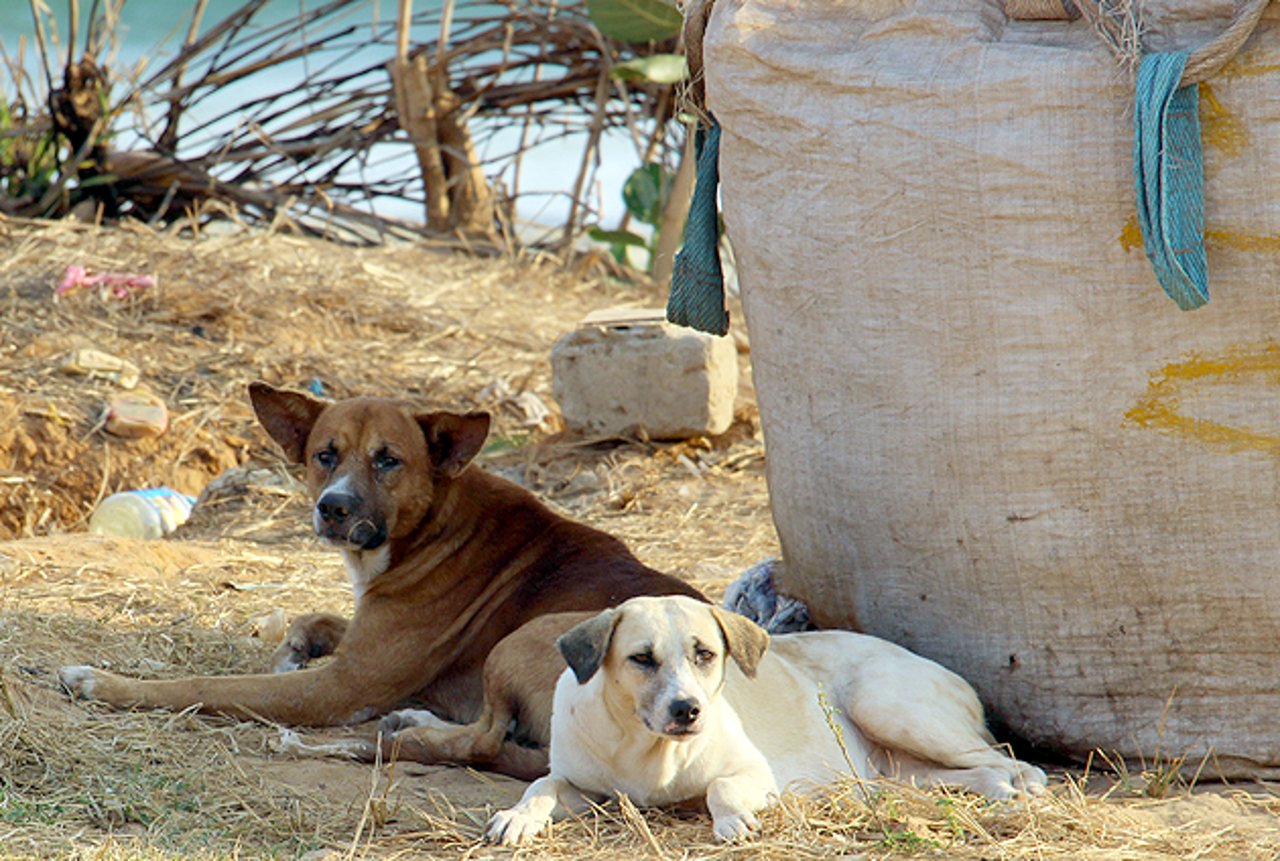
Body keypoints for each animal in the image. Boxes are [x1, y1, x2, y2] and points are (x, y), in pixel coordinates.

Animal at [57, 383, 701, 777]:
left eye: (388, 459)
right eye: (325, 454)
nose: (333, 508)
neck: (432, 525)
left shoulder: (341, 687)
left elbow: (200, 686)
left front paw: (104, 684)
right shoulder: (363, 640)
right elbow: (318, 618)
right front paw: (296, 645)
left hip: (533, 636)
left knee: (484, 740)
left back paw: (391, 736)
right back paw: (414, 721)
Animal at [483, 593, 1044, 844]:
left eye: (705, 654)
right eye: (641, 658)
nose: (688, 710)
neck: (646, 748)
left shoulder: (755, 773)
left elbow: (720, 788)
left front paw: (733, 820)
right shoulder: (584, 786)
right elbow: (542, 786)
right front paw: (517, 817)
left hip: (885, 705)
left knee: (1012, 762)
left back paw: (1023, 791)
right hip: (902, 770)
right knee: (979, 771)